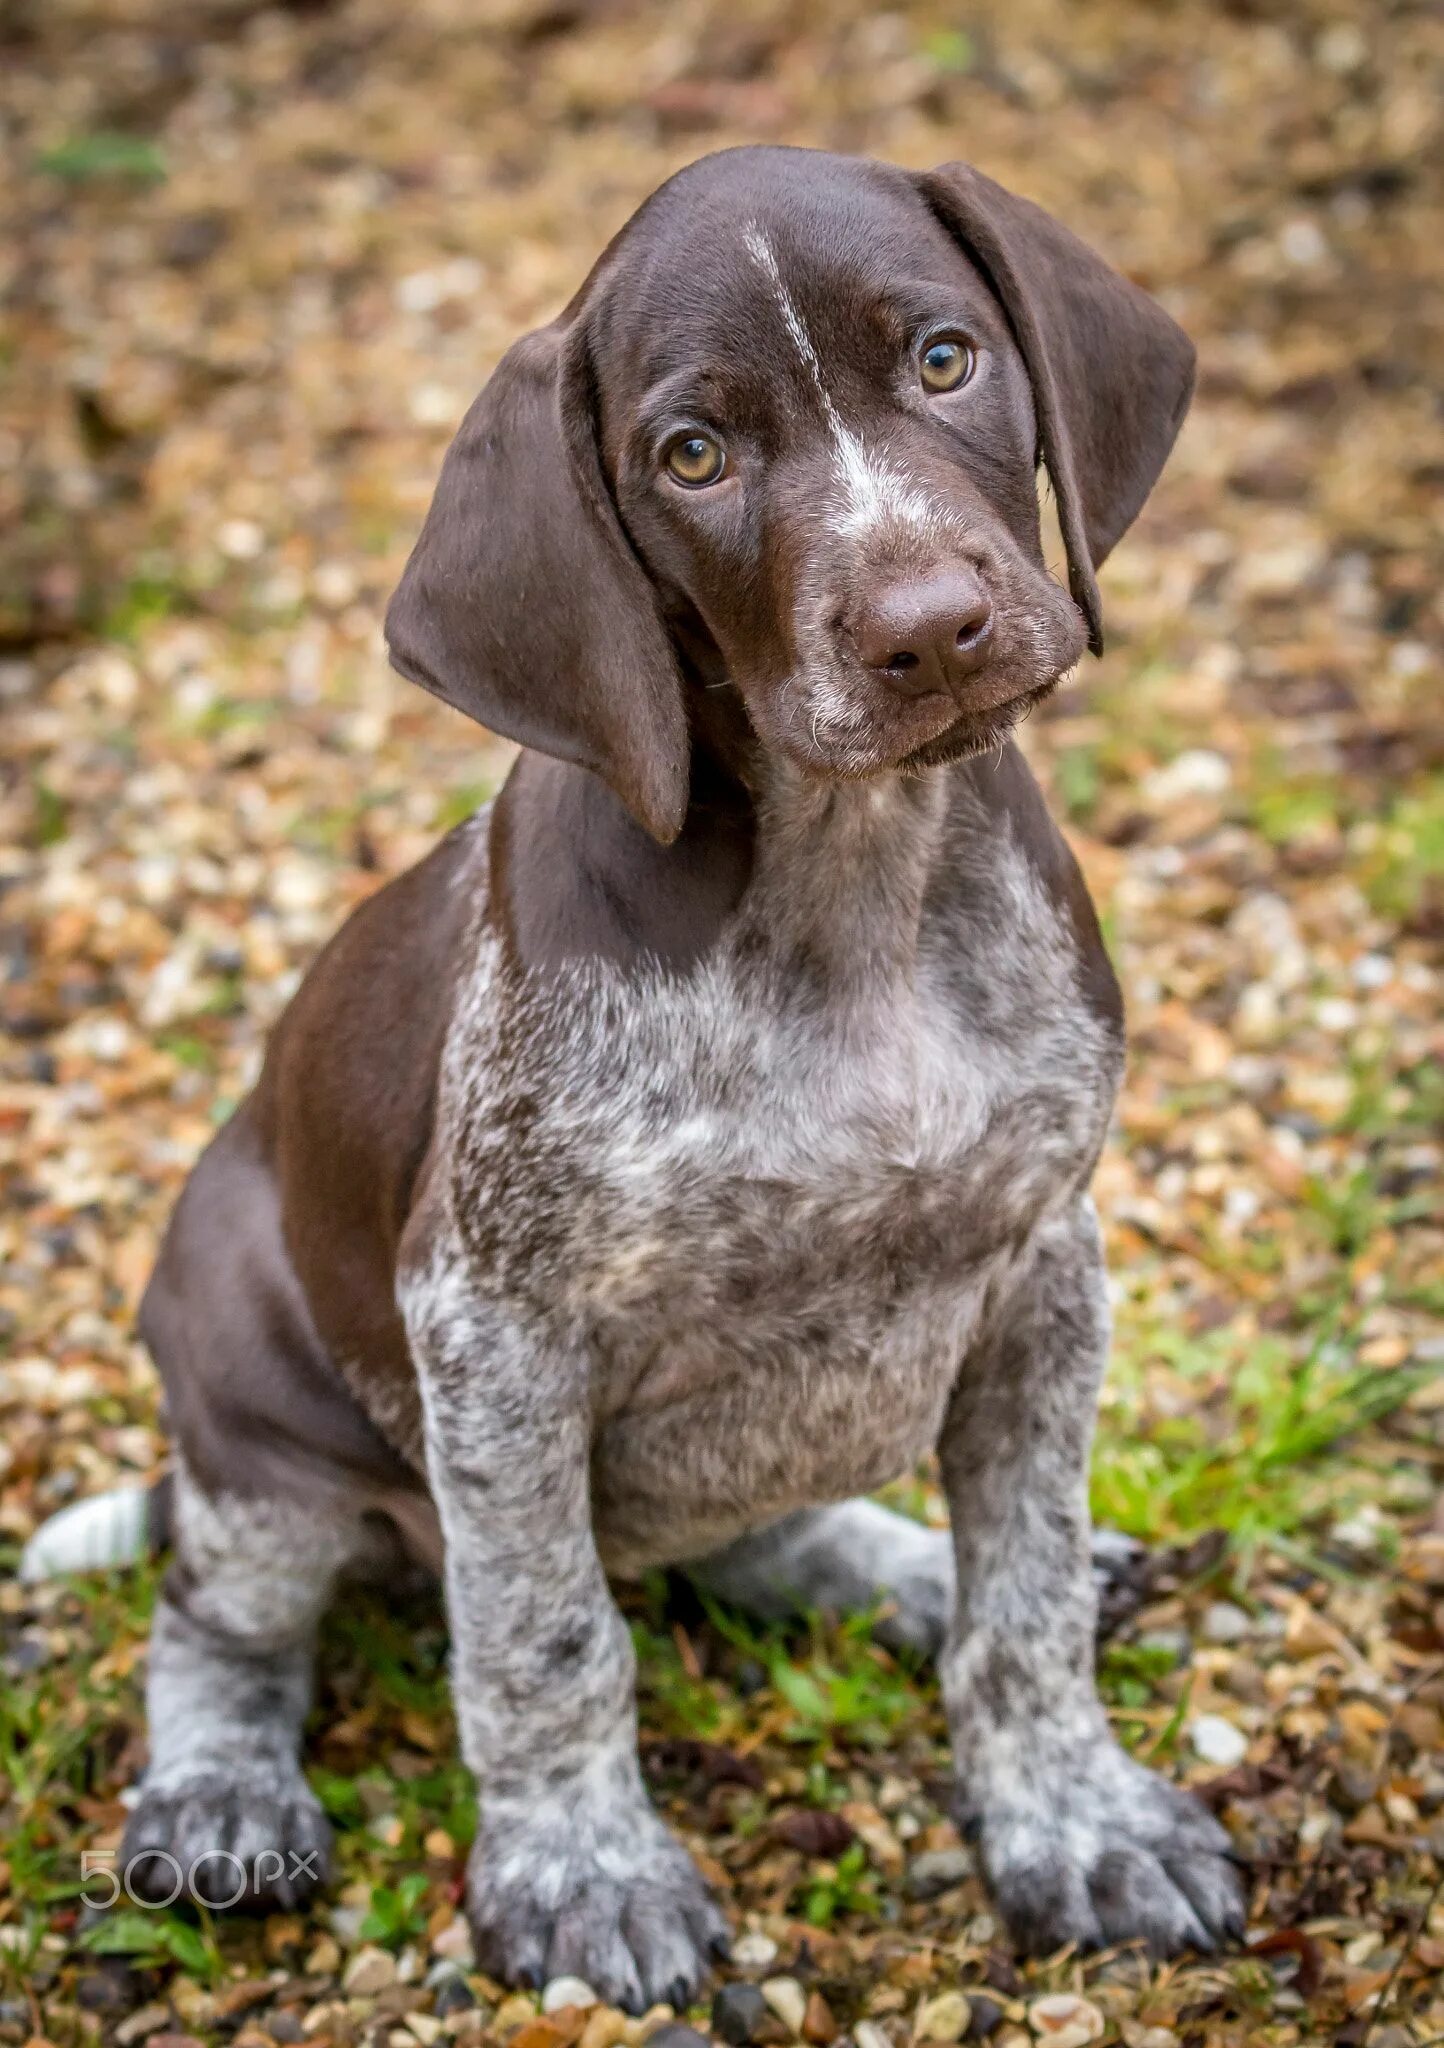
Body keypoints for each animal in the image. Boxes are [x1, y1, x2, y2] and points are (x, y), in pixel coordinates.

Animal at [22, 151, 1237, 2007]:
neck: (852, 892)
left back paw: (898, 1566)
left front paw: (1072, 1813)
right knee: (220, 1616)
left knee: (757, 1526)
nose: (930, 632)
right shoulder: (495, 1329)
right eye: (692, 456)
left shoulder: (1044, 1262)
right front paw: (582, 1869)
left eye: (944, 357)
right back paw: (222, 1792)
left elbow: (1022, 1597)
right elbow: (542, 1634)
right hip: (257, 1418)